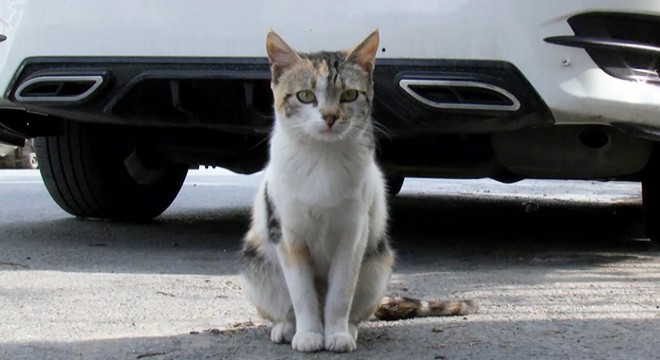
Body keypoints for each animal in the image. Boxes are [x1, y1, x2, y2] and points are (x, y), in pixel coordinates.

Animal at [240, 29, 476, 352]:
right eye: (305, 96)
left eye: (349, 95)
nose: (329, 116)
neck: (323, 158)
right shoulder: (288, 234)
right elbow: (302, 294)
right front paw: (309, 334)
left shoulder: (354, 232)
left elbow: (341, 292)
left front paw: (337, 334)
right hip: (256, 264)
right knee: (283, 305)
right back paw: (287, 327)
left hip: (378, 263)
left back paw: (348, 329)